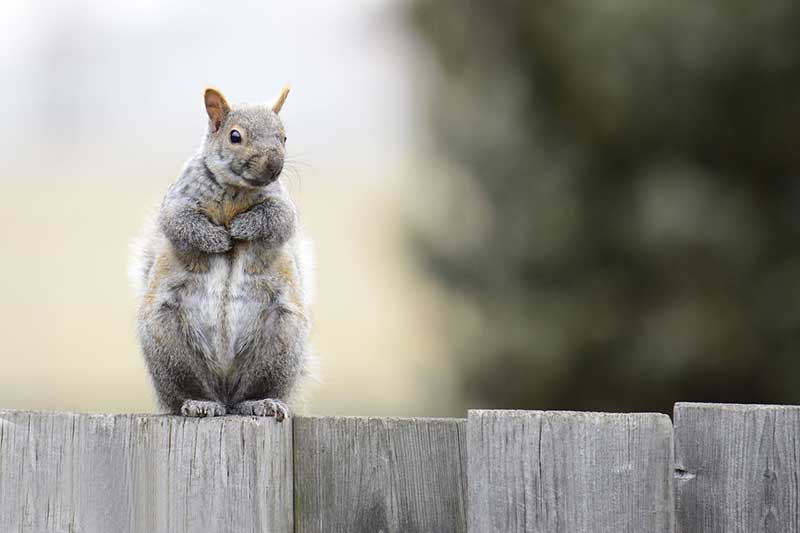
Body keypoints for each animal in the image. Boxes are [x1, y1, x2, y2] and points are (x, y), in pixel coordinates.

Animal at [129, 86, 312, 420]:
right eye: (234, 136)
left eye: (283, 136)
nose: (274, 166)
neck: (235, 191)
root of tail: (224, 389)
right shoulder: (179, 200)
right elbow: (179, 223)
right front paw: (217, 239)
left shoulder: (281, 205)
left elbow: (278, 219)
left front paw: (242, 227)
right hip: (168, 345)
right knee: (187, 392)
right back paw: (198, 402)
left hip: (281, 340)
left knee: (249, 392)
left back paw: (260, 402)